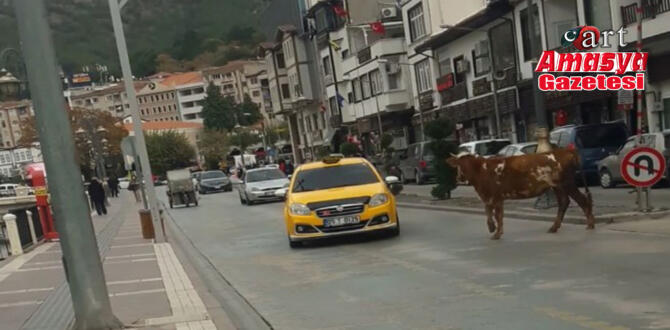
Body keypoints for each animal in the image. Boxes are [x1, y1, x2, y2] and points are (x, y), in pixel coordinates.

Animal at [448, 150, 596, 240]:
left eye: (459, 165)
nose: (458, 178)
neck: (481, 170)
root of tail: (565, 151)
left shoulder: (495, 196)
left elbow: (496, 214)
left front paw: (496, 233)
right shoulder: (491, 196)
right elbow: (490, 212)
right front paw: (493, 228)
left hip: (567, 183)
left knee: (582, 200)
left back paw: (590, 224)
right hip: (557, 186)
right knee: (564, 202)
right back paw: (554, 227)